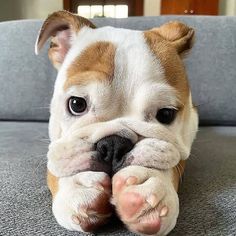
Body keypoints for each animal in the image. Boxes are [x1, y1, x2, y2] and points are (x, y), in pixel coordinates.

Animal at [35, 11, 197, 236]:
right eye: (76, 104)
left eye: (166, 114)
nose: (113, 144)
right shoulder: (59, 146)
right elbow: (58, 164)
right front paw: (77, 186)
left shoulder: (185, 141)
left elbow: (174, 164)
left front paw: (152, 185)